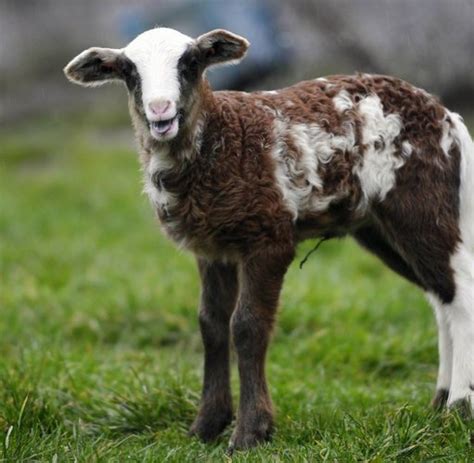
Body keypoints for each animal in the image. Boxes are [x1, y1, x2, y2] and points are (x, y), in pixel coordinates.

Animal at [65, 27, 474, 452]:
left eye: (190, 63)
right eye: (129, 72)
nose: (160, 110)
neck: (220, 137)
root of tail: (448, 118)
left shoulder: (269, 237)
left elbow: (247, 326)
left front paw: (250, 432)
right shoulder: (213, 249)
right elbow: (211, 324)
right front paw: (206, 426)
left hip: (420, 203)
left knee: (461, 289)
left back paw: (459, 406)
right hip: (380, 227)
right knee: (441, 295)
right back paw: (440, 400)